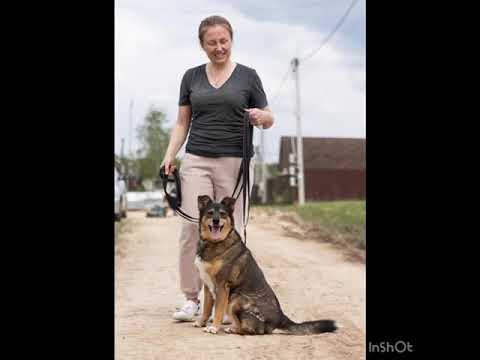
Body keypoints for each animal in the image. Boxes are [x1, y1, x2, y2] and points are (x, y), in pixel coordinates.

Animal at [192, 195, 338, 336]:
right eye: (210, 213)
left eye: (222, 214)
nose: (216, 221)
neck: (213, 243)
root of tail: (281, 317)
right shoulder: (208, 286)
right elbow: (206, 308)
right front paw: (201, 322)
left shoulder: (223, 285)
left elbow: (218, 310)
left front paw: (214, 328)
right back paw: (233, 328)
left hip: (235, 298)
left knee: (254, 331)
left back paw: (234, 329)